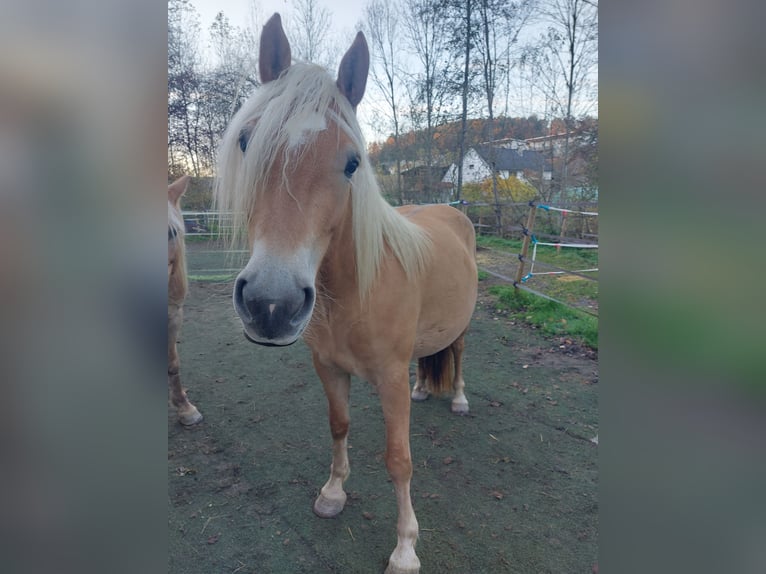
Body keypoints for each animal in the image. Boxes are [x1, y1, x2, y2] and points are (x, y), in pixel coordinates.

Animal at [216, 14, 476, 574]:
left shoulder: (388, 381)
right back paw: (426, 389)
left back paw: (460, 398)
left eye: (354, 162)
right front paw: (333, 494)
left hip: (464, 326)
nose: (271, 305)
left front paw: (405, 548)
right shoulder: (329, 368)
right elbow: (339, 425)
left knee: (460, 354)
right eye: (247, 141)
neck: (357, 293)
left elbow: (399, 460)